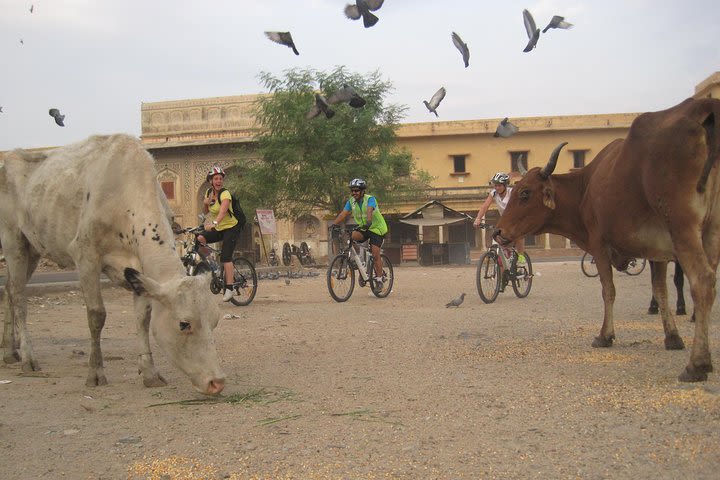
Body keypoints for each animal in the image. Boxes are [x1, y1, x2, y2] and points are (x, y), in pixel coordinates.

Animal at [0, 134, 225, 394]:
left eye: (215, 321)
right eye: (184, 324)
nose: (216, 382)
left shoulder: (139, 271)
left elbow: (143, 318)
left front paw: (149, 372)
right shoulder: (85, 255)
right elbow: (96, 315)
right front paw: (95, 372)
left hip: (33, 249)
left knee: (8, 290)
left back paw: (10, 351)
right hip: (13, 240)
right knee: (19, 297)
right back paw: (28, 357)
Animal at [496, 97, 720, 382]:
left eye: (525, 193)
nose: (497, 232)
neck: (585, 187)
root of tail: (704, 105)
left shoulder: (600, 245)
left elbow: (608, 290)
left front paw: (605, 335)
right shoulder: (656, 250)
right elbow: (661, 291)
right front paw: (672, 337)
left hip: (683, 227)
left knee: (702, 281)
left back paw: (697, 364)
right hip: (711, 231)